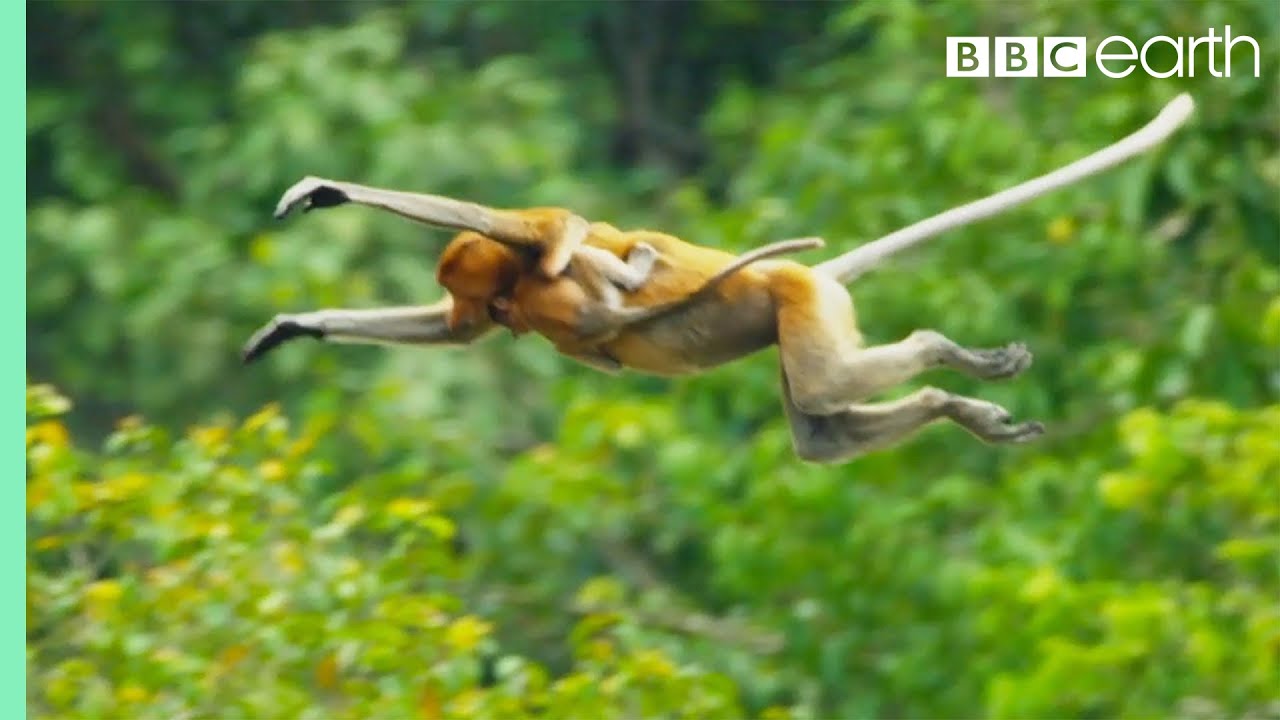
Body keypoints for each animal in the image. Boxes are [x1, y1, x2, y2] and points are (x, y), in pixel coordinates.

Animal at [241, 94, 1198, 458]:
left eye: (464, 284)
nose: (470, 307)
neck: (521, 289)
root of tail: (809, 279)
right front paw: (293, 326)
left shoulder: (535, 256)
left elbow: (519, 226)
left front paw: (324, 192)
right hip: (799, 314)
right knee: (821, 429)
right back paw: (958, 408)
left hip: (797, 298)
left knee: (828, 385)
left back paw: (945, 357)